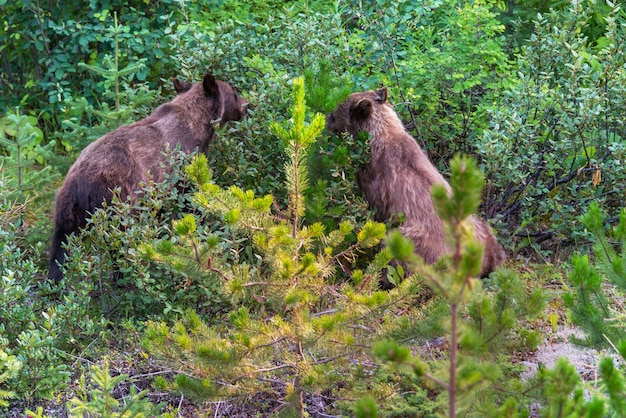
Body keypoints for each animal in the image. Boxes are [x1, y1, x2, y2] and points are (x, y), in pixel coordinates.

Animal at [47, 73, 247, 282]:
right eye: (234, 93)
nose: (247, 104)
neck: (200, 125)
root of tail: (78, 184)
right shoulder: (181, 164)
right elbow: (189, 200)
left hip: (66, 211)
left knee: (60, 247)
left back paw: (54, 279)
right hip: (115, 201)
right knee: (119, 242)